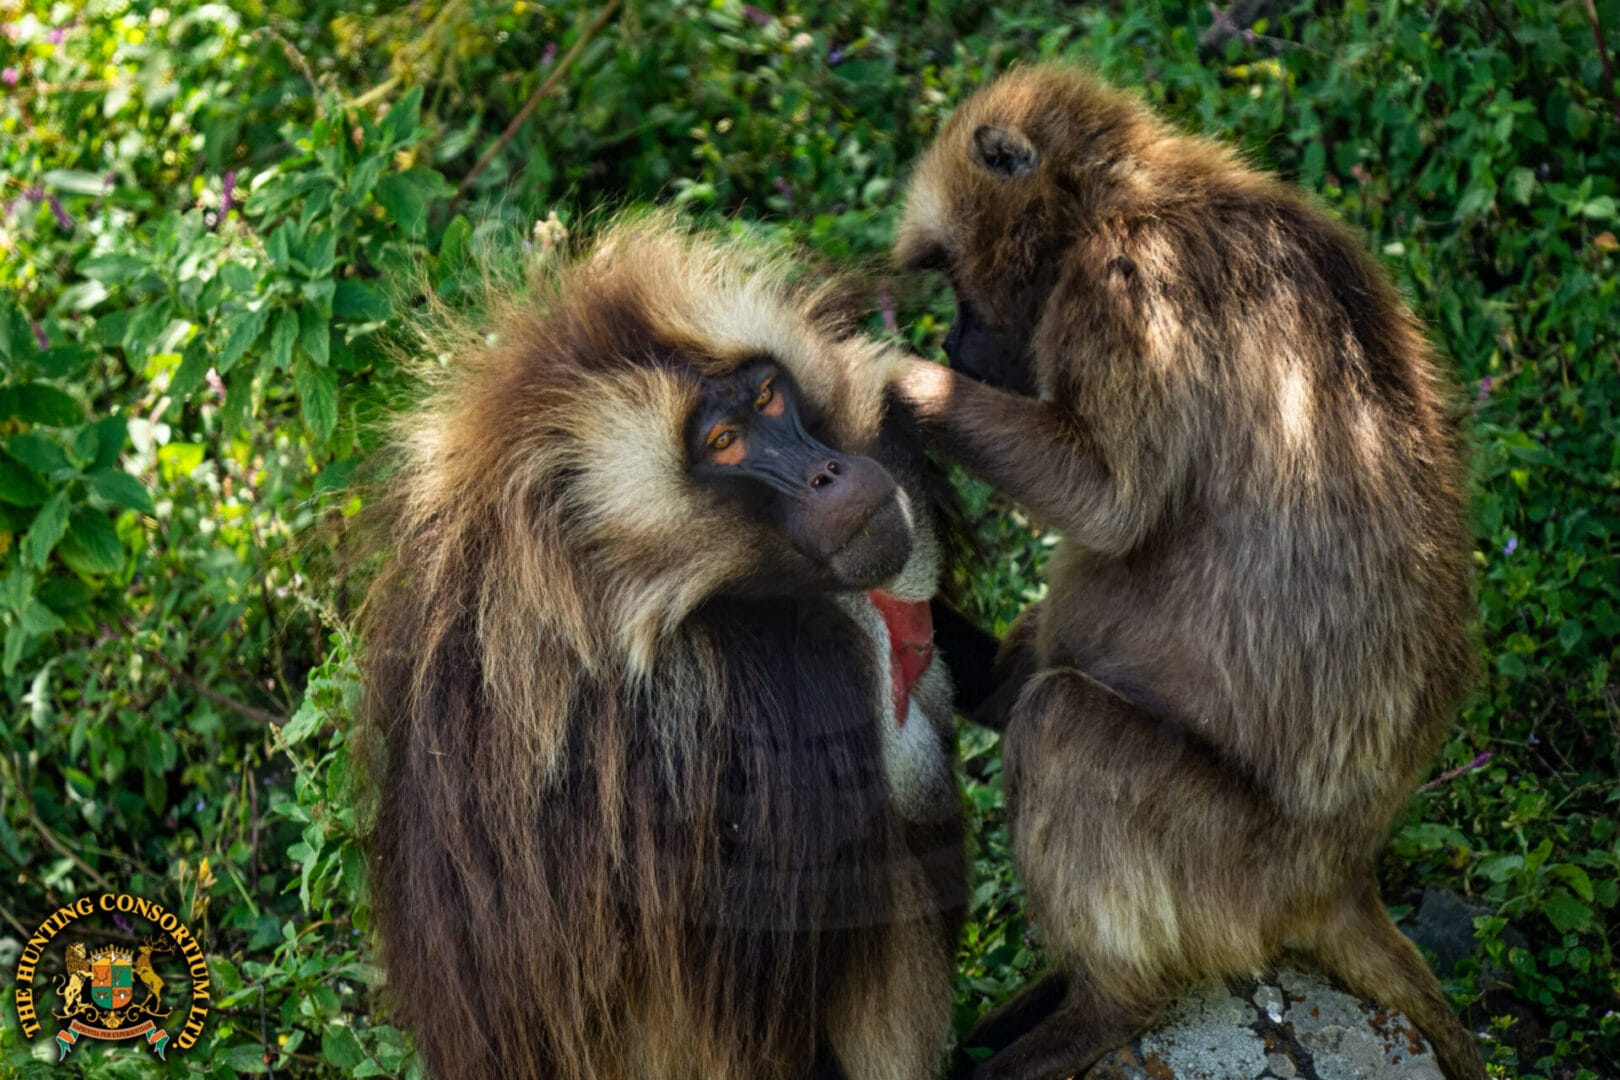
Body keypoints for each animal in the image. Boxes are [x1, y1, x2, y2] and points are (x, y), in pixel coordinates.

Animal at [888, 65, 1485, 1080]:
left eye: (959, 283)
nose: (960, 349)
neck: (1134, 196)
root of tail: (1343, 872)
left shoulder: (1128, 287)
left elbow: (1107, 502)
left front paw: (887, 380)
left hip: (1236, 866)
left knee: (1061, 723)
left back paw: (1101, 1009)